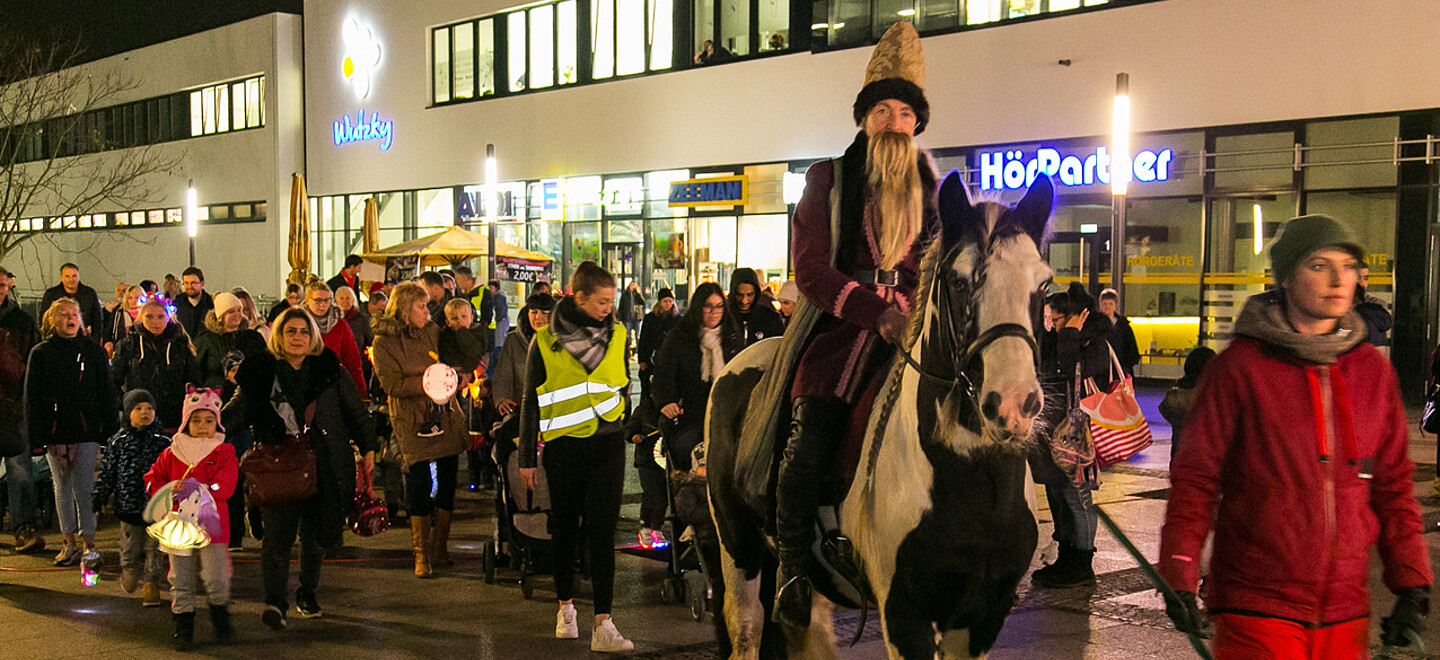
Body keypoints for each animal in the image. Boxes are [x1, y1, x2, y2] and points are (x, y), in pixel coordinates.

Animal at [702, 172, 1054, 657]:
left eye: (1044, 285)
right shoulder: (905, 614)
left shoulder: (983, 617)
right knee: (748, 627)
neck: (971, 478)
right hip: (737, 546)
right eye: (959, 282)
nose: (1014, 402)